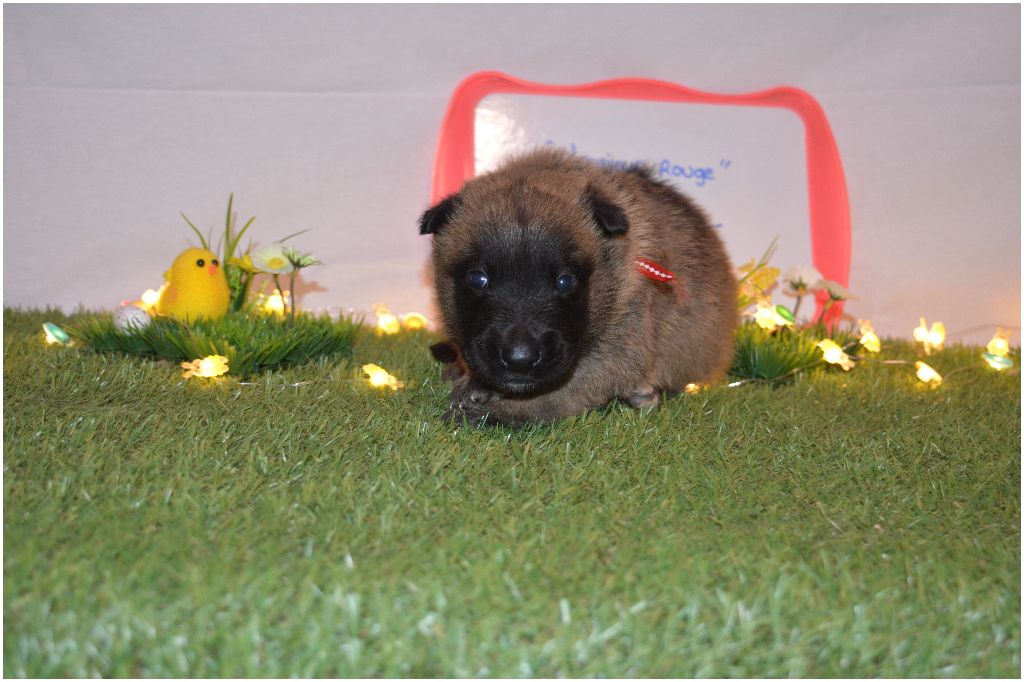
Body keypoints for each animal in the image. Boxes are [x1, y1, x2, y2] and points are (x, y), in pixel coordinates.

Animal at [419, 148, 738, 426]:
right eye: (478, 279)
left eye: (565, 281)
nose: (520, 359)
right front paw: (473, 383)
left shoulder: (616, 352)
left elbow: (552, 398)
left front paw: (494, 412)